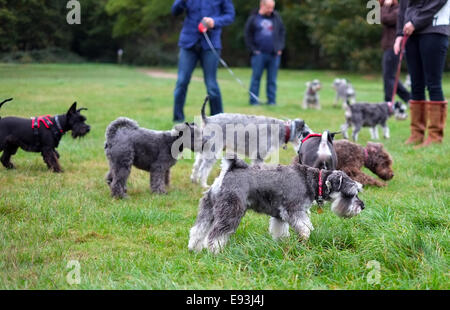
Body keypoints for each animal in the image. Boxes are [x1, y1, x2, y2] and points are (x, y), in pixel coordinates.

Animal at [188, 157, 364, 254]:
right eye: (351, 193)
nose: (362, 206)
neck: (314, 182)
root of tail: (228, 171)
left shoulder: (280, 216)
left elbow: (280, 231)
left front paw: (283, 244)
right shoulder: (294, 210)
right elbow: (305, 227)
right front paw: (305, 239)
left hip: (209, 209)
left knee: (198, 230)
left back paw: (194, 249)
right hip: (231, 210)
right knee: (215, 234)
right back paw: (215, 252)